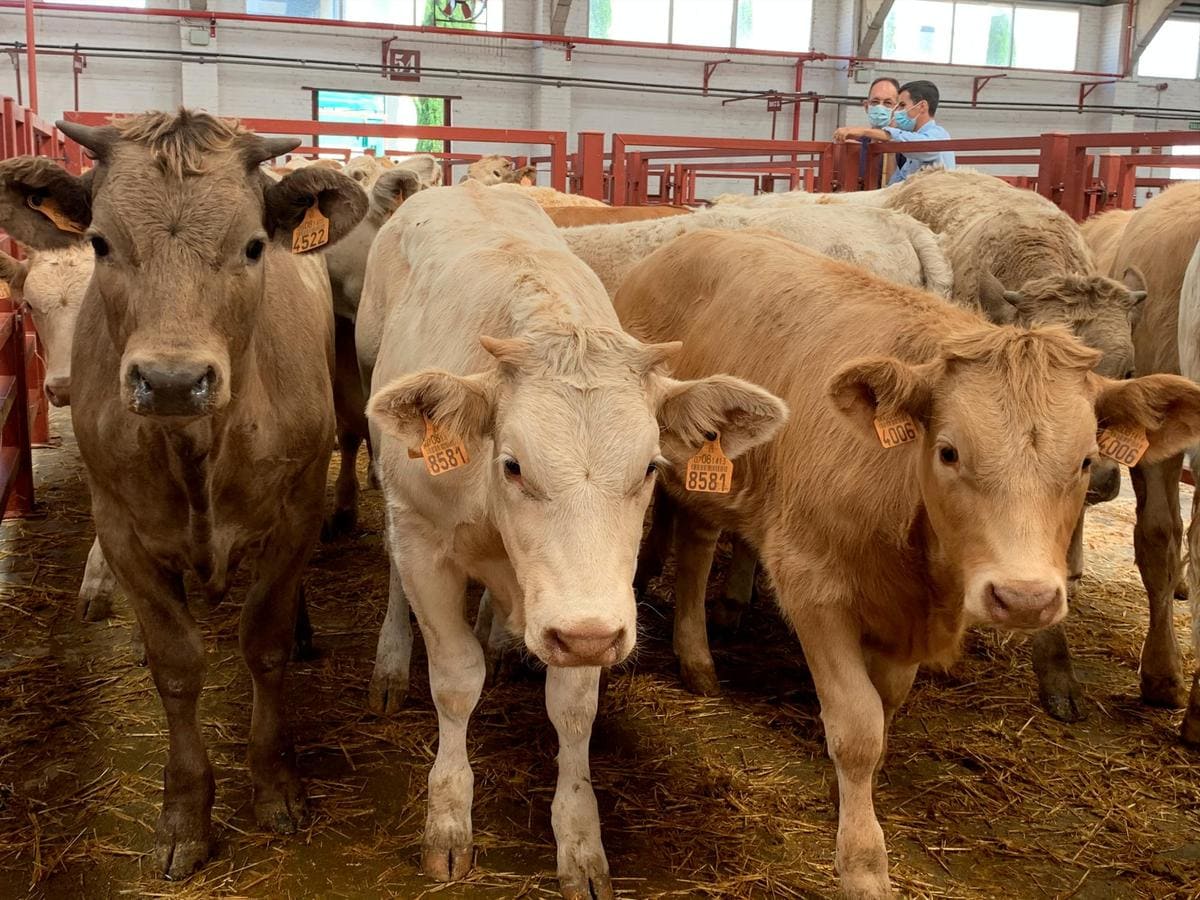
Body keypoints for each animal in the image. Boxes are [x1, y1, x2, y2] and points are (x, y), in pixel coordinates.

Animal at [0, 112, 367, 883]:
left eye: (253, 245)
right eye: (101, 243)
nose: (172, 380)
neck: (197, 445)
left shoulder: (294, 513)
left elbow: (263, 645)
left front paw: (276, 784)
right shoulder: (122, 529)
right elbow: (175, 666)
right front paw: (185, 814)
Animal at [355, 180, 787, 897]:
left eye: (650, 468)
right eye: (512, 464)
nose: (584, 634)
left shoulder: (590, 607)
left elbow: (575, 705)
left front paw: (581, 840)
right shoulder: (424, 540)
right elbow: (455, 678)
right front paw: (448, 819)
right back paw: (391, 659)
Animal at [614, 230, 1200, 897]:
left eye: (1082, 460)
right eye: (948, 451)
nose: (1024, 598)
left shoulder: (904, 627)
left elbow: (886, 706)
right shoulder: (812, 588)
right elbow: (857, 727)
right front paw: (863, 862)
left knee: (698, 540)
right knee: (696, 548)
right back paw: (696, 654)